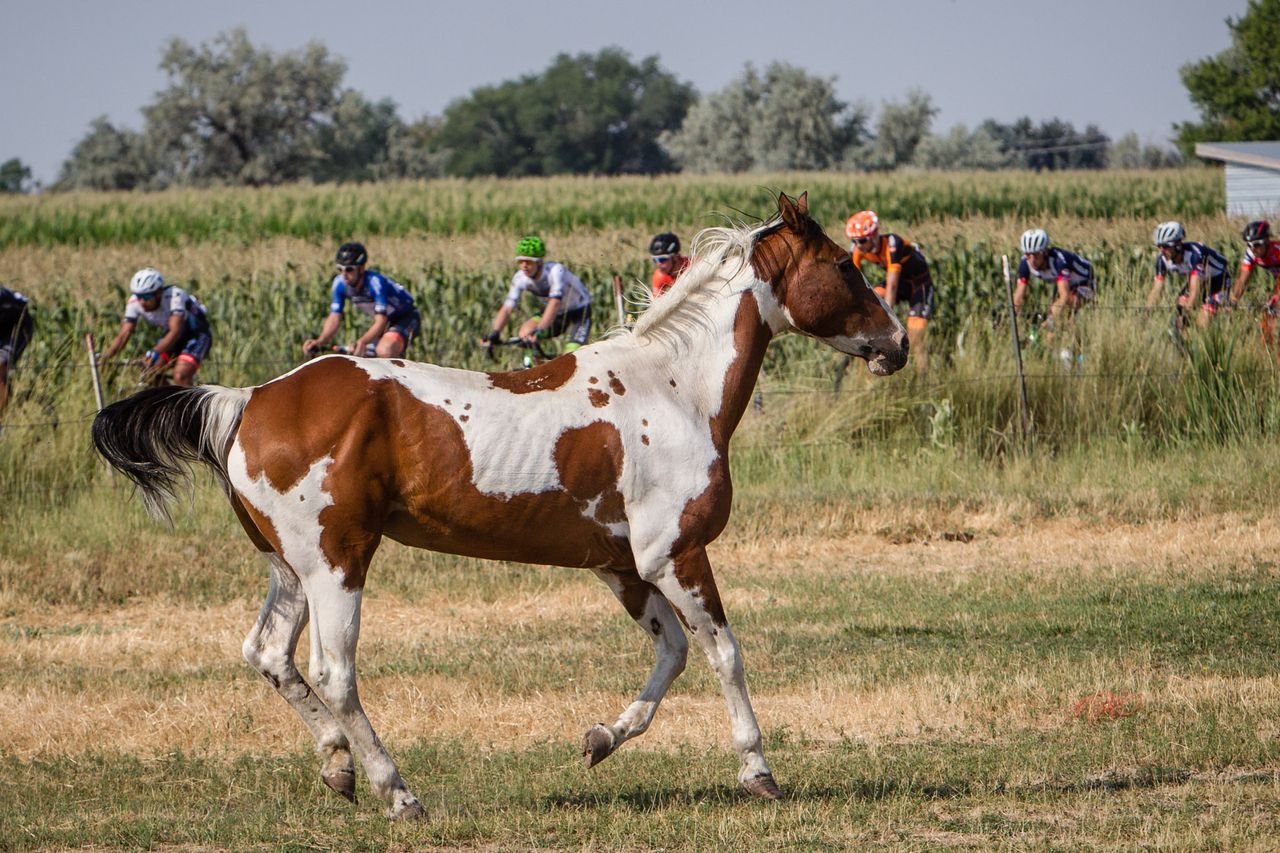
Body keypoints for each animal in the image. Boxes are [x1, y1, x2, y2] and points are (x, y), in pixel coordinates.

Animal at [91, 192, 908, 820]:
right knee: (334, 672)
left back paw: (338, 767)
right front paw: (758, 771)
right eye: (844, 265)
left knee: (267, 654)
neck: (674, 389)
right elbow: (725, 653)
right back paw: (398, 792)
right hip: (336, 563)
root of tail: (248, 399)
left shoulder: (621, 565)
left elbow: (672, 652)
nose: (896, 342)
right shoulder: (675, 555)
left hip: (288, 568)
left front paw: (600, 739)